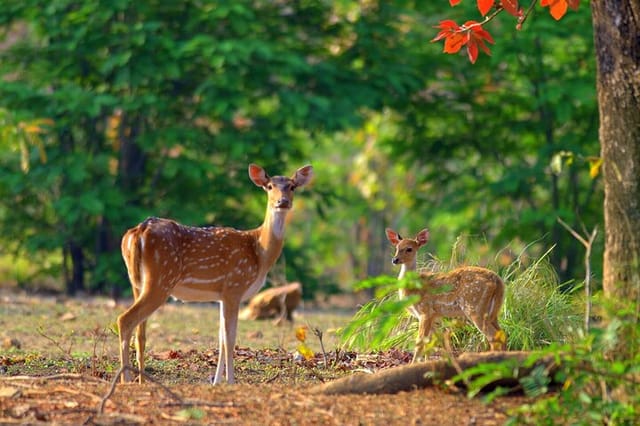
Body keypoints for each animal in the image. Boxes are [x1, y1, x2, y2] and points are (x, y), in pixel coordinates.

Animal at [118, 162, 316, 382]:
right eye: (270, 186)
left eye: (292, 186)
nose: (282, 202)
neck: (259, 251)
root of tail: (138, 231)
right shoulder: (235, 286)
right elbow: (230, 339)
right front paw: (230, 381)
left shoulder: (222, 294)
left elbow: (221, 338)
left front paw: (216, 382)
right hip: (161, 279)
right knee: (125, 320)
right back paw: (126, 379)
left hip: (137, 281)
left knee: (139, 332)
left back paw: (141, 380)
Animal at [384, 228, 504, 362]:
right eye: (397, 247)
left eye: (409, 249)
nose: (395, 260)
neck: (413, 289)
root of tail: (498, 281)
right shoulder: (434, 316)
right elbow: (433, 342)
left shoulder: (425, 311)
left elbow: (420, 342)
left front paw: (413, 364)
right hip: (493, 311)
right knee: (502, 334)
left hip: (475, 308)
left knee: (493, 336)